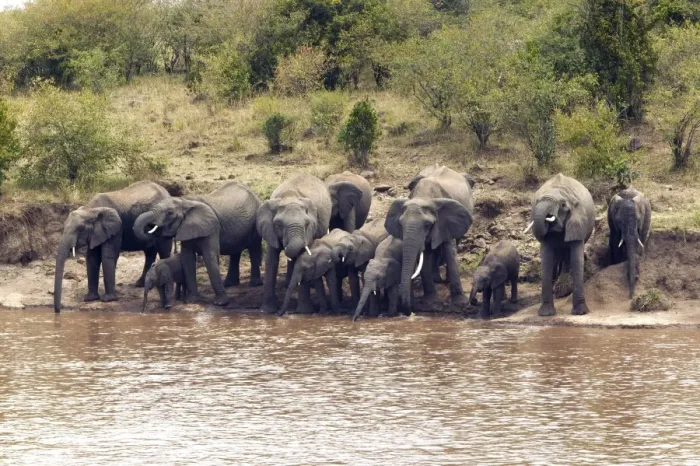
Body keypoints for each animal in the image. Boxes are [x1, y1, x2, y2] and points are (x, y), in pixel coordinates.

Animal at [54, 180, 173, 313]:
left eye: (80, 229)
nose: (58, 311)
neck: (90, 209)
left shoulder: (116, 228)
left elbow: (108, 257)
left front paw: (107, 300)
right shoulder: (97, 232)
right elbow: (92, 259)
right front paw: (90, 299)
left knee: (163, 251)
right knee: (149, 252)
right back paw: (140, 284)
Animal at [134, 181, 263, 306]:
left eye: (169, 213)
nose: (150, 228)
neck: (185, 201)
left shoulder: (211, 227)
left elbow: (209, 257)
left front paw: (220, 303)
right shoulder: (186, 228)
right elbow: (187, 258)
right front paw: (191, 300)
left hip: (255, 222)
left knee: (254, 249)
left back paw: (254, 284)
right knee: (235, 253)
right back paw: (229, 284)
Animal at [257, 174, 332, 313]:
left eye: (307, 224)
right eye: (278, 225)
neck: (289, 197)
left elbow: (302, 258)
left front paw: (304, 312)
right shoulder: (270, 231)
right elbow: (271, 261)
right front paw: (267, 311)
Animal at [385, 165, 474, 310]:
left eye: (428, 224)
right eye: (401, 224)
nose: (408, 308)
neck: (424, 197)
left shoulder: (446, 221)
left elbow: (449, 250)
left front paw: (461, 303)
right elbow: (426, 254)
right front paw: (430, 302)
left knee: (456, 241)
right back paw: (436, 279)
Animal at [524, 173, 595, 316]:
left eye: (562, 205)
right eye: (536, 202)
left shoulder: (578, 221)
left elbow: (577, 259)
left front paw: (580, 313)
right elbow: (547, 259)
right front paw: (546, 314)